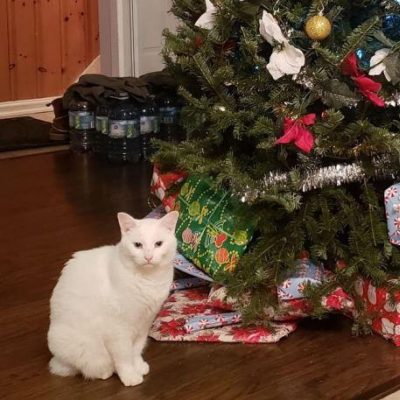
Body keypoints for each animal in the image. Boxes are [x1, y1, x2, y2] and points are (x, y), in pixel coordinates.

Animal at [47, 211, 178, 386]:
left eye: (158, 244)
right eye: (138, 245)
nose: (148, 257)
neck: (148, 280)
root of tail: (56, 359)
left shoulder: (144, 324)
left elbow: (136, 350)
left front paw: (138, 366)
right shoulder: (119, 330)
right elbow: (124, 358)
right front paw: (130, 377)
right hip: (83, 347)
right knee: (85, 367)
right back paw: (105, 372)